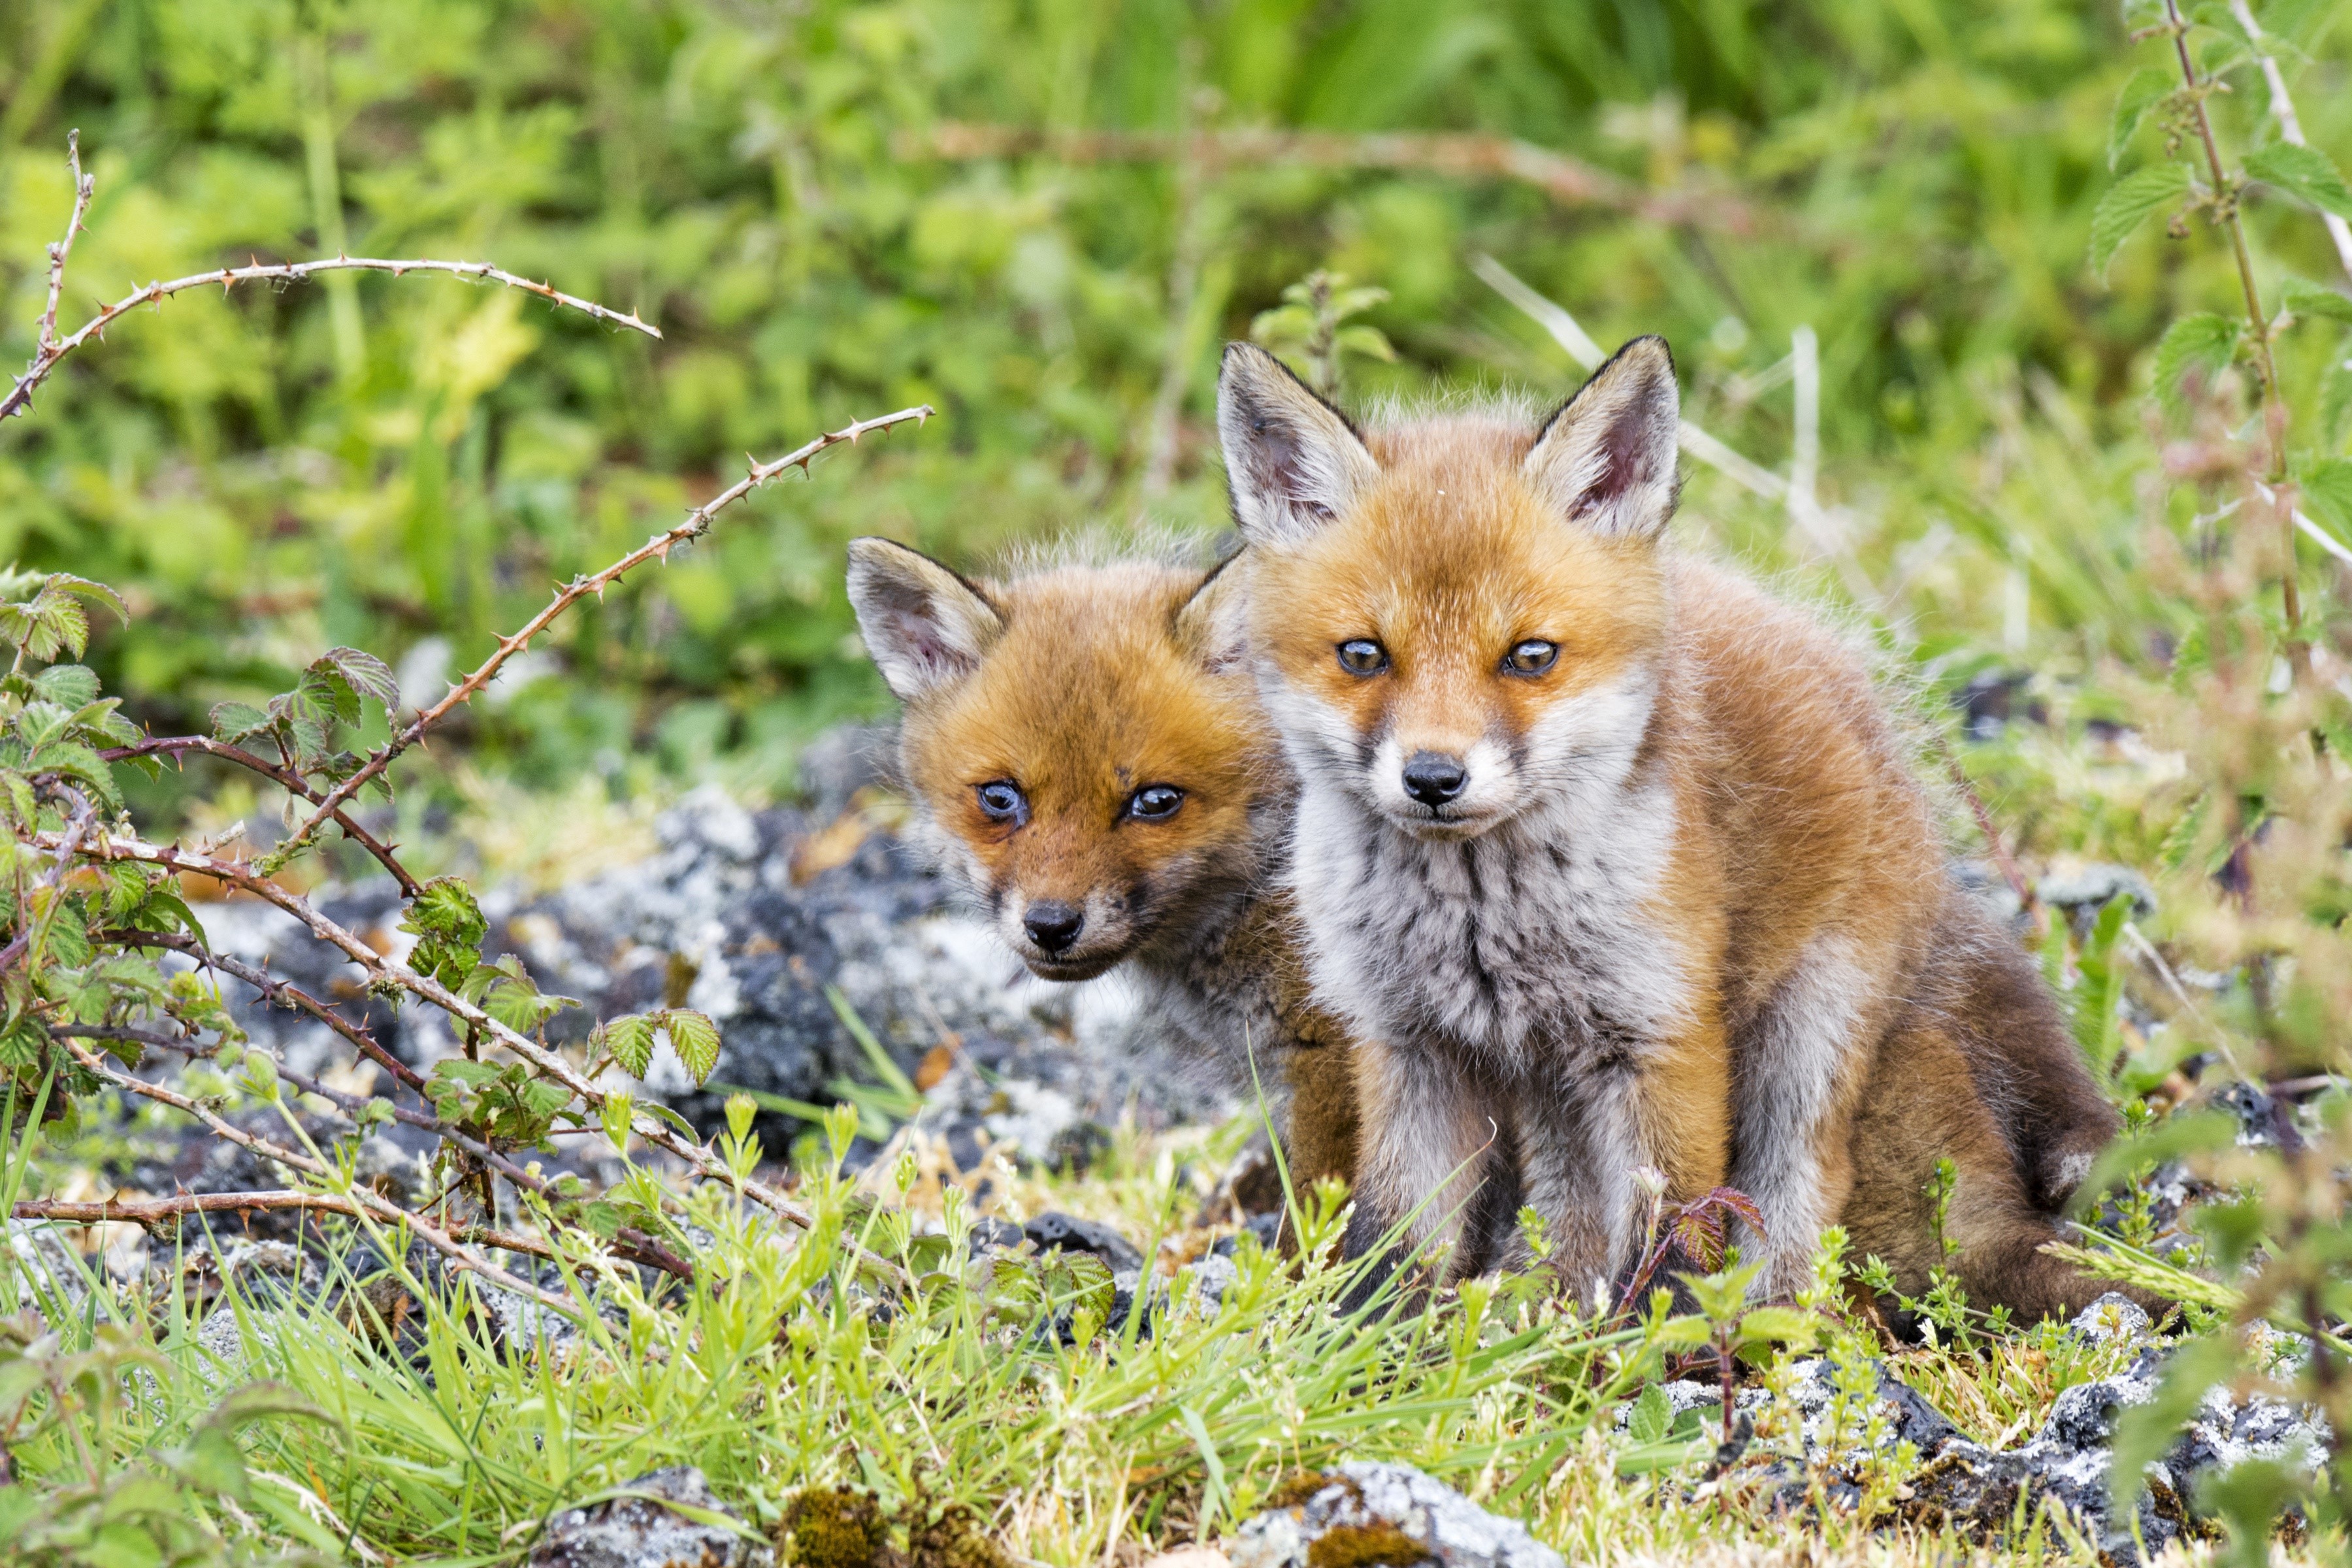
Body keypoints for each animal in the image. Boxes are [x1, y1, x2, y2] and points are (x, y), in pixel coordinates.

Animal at [1213, 335, 2139, 1312]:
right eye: (1363, 655)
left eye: (1530, 656)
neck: (1480, 922)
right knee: (1573, 1210)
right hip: (1555, 1081)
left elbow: (1674, 1235)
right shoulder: (1408, 1044)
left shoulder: (1667, 1037)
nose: (1434, 778)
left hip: (1805, 1039)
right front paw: (1374, 1342)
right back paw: (1549, 1306)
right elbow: (1396, 1238)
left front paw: (1666, 1336)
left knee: (1800, 1195)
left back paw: (1774, 1320)